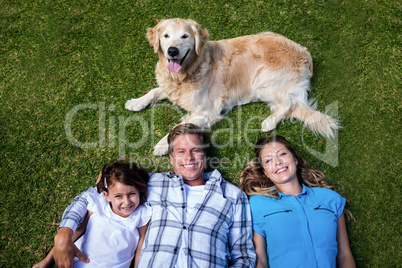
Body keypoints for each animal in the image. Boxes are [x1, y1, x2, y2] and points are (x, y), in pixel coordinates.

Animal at [126, 18, 340, 156]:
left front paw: (162, 145)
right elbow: (154, 91)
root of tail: (306, 54)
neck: (185, 74)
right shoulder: (170, 87)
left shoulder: (208, 112)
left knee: (288, 104)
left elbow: (178, 126)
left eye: (185, 36)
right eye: (166, 36)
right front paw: (136, 102)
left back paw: (269, 122)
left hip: (262, 81)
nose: (172, 51)